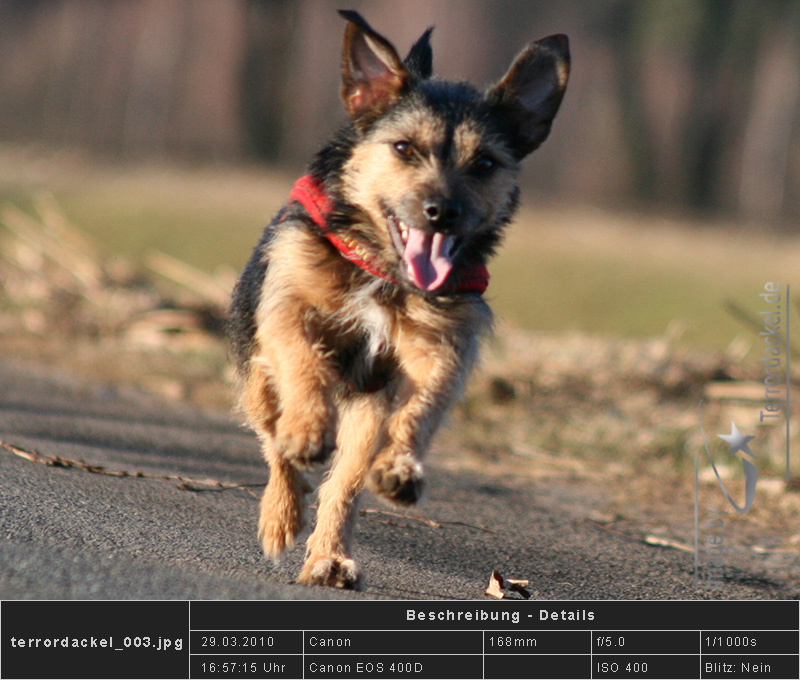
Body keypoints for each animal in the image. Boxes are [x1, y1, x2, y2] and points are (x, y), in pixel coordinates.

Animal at [228, 7, 572, 588]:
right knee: (275, 442)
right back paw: (283, 510)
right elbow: (303, 363)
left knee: (344, 484)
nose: (442, 211)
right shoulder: (287, 310)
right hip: (256, 375)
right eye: (404, 148)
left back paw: (329, 555)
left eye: (484, 164)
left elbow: (423, 405)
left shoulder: (439, 347)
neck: (384, 271)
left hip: (366, 414)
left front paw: (400, 467)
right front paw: (307, 430)